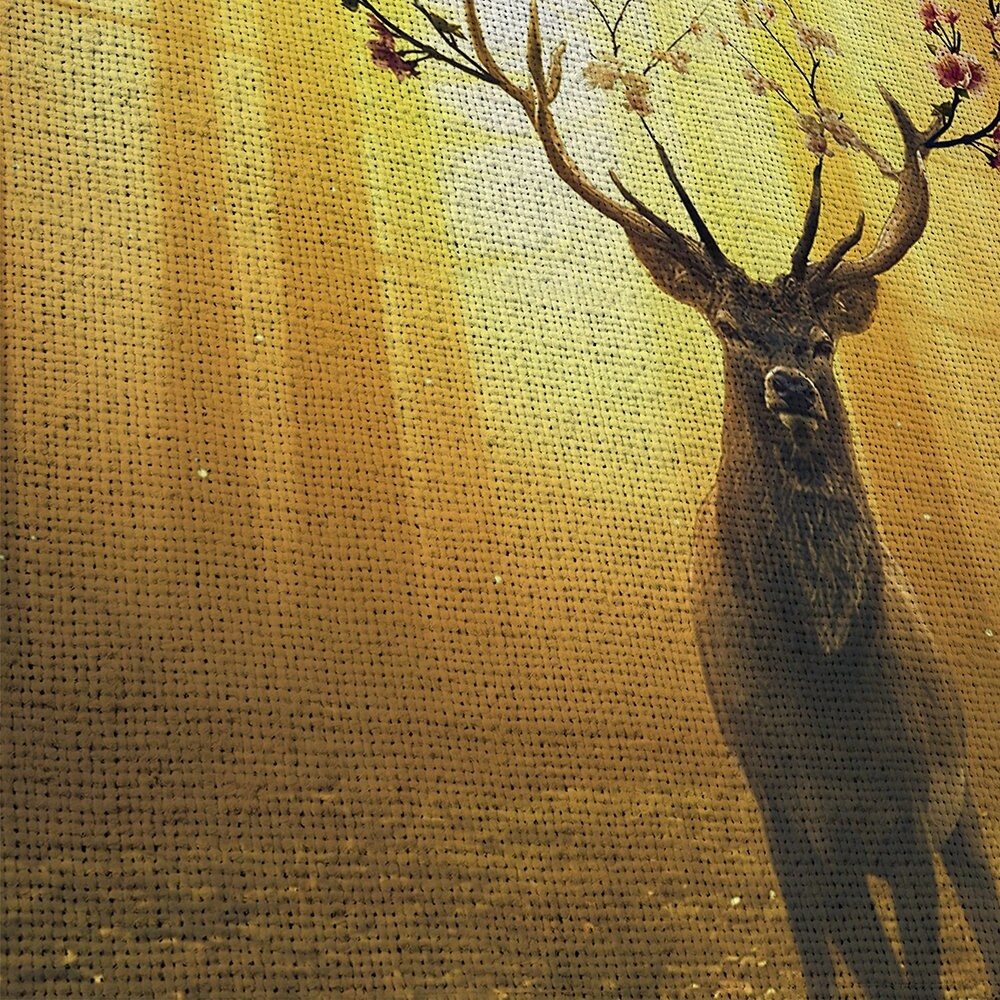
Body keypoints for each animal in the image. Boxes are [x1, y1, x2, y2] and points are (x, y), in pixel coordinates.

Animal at [346, 0, 1000, 993]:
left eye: (821, 339)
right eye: (729, 326)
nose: (789, 386)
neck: (825, 680)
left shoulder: (910, 806)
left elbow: (916, 972)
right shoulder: (790, 819)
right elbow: (849, 967)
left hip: (958, 802)